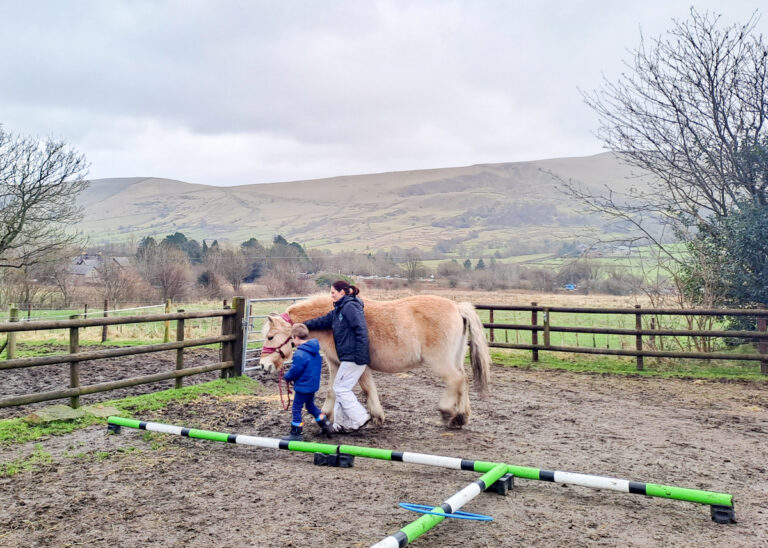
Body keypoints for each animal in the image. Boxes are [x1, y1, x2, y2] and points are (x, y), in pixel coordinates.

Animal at [258, 293, 491, 428]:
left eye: (270, 337)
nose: (263, 365)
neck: (332, 321)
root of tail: (458, 307)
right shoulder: (336, 364)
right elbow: (334, 390)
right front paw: (326, 415)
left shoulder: (356, 365)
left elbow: (367, 389)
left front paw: (374, 416)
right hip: (455, 359)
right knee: (463, 382)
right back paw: (460, 417)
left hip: (441, 362)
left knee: (455, 381)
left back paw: (447, 412)